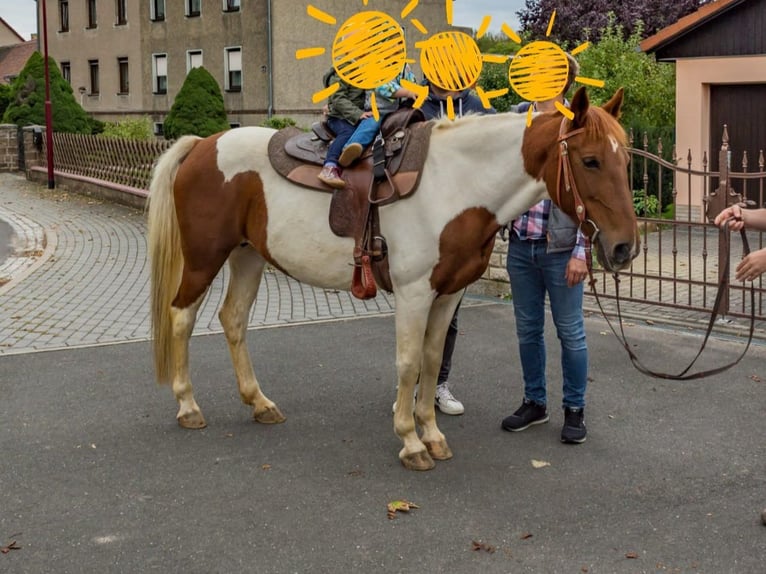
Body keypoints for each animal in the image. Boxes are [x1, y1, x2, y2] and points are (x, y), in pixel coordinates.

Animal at [147, 86, 640, 472]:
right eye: (591, 161)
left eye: (626, 160)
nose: (624, 248)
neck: (456, 184)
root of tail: (202, 145)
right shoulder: (414, 292)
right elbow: (408, 363)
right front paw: (410, 441)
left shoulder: (448, 294)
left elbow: (432, 360)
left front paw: (433, 435)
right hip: (205, 258)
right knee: (181, 317)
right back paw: (188, 406)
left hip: (248, 255)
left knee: (233, 319)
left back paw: (259, 403)